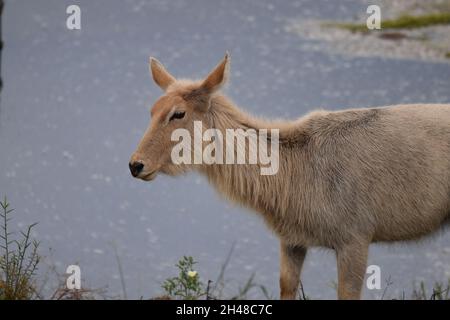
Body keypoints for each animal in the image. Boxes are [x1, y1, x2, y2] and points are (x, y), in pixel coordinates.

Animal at [129, 53, 450, 300]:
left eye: (178, 113)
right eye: (152, 110)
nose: (136, 165)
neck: (292, 177)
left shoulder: (356, 237)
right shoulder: (292, 240)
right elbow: (286, 287)